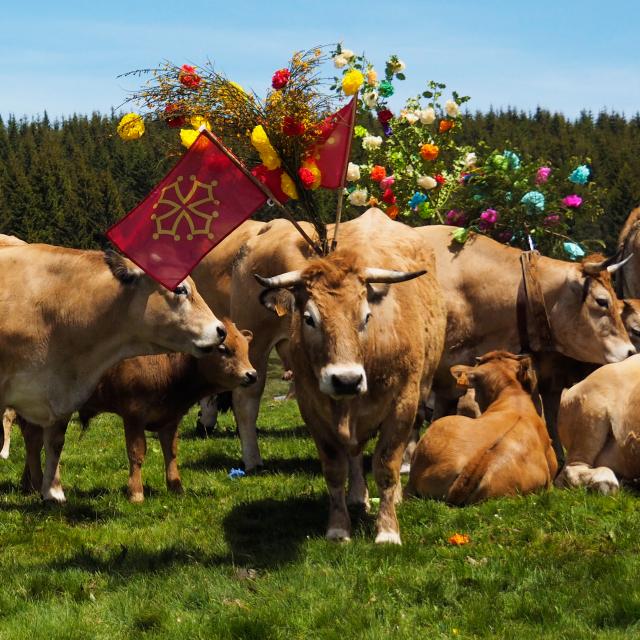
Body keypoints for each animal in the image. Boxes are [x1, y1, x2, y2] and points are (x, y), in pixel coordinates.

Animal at [19, 319, 256, 502]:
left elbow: (171, 453)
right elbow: (136, 453)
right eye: (223, 349)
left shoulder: (170, 418)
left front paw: (176, 487)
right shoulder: (133, 416)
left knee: (36, 442)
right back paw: (39, 484)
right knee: (34, 442)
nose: (252, 374)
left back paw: (29, 484)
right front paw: (135, 492)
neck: (166, 366)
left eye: (246, 348)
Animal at [255, 213, 447, 544]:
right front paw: (338, 527)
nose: (345, 380)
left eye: (367, 316)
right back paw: (357, 496)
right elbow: (335, 468)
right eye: (309, 318)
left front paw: (387, 530)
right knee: (355, 453)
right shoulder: (311, 407)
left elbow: (386, 465)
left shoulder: (403, 404)